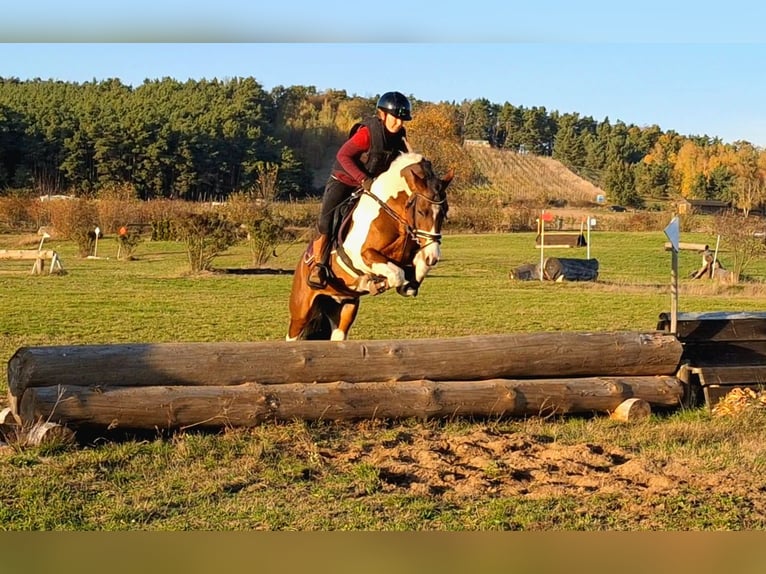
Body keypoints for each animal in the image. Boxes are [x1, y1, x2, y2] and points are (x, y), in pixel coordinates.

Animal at [288, 153, 456, 342]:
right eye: (421, 211)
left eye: (445, 211)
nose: (433, 257)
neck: (393, 214)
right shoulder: (359, 256)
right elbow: (397, 274)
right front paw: (376, 284)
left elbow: (418, 265)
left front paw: (408, 286)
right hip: (301, 312)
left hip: (343, 307)